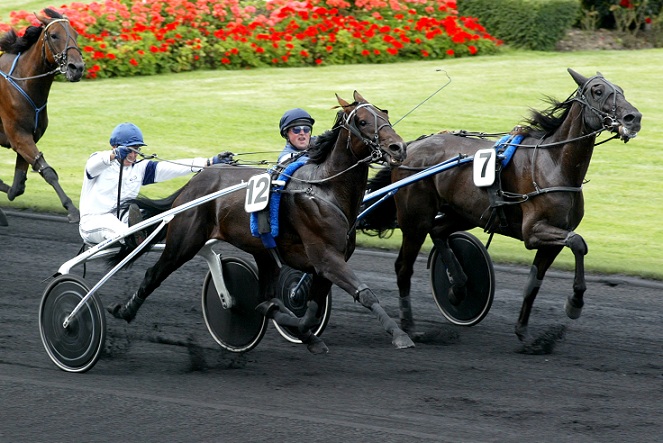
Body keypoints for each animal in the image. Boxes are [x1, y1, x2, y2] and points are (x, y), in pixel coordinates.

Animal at [0, 7, 85, 225]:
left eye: (76, 34)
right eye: (54, 35)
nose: (77, 68)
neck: (23, 80)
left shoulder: (28, 136)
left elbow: (17, 187)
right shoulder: (19, 136)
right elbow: (48, 171)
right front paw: (73, 210)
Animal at [105, 93, 416, 354]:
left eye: (385, 114)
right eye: (362, 121)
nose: (398, 147)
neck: (324, 187)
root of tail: (194, 182)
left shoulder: (328, 262)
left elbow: (311, 309)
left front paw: (307, 334)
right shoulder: (326, 258)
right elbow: (364, 293)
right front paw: (400, 335)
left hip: (263, 253)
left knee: (264, 302)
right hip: (184, 242)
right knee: (154, 274)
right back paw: (125, 310)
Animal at [364, 69, 644, 346]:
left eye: (620, 89)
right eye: (598, 91)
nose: (634, 117)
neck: (554, 163)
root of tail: (408, 148)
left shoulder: (553, 238)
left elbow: (535, 281)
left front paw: (525, 333)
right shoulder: (534, 231)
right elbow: (578, 242)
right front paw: (574, 303)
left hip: (465, 213)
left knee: (439, 231)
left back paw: (460, 285)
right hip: (415, 220)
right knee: (404, 266)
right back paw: (409, 328)